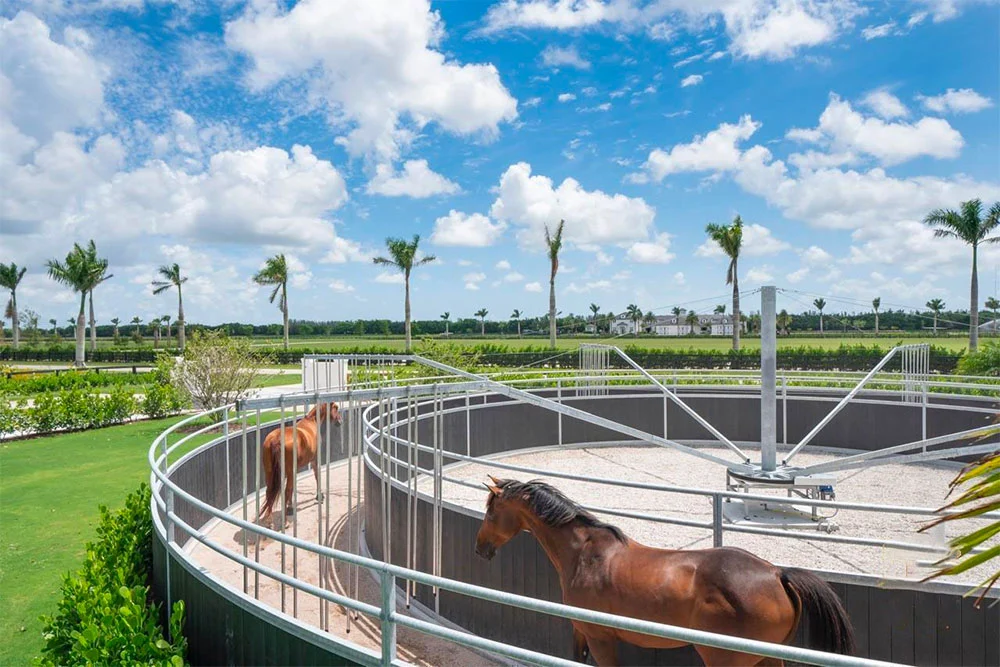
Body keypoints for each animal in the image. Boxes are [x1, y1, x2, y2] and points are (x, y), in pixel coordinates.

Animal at [474, 478, 852, 664]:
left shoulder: (600, 637)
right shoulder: (581, 633)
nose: (480, 548)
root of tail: (776, 574)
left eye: (491, 512)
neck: (584, 555)